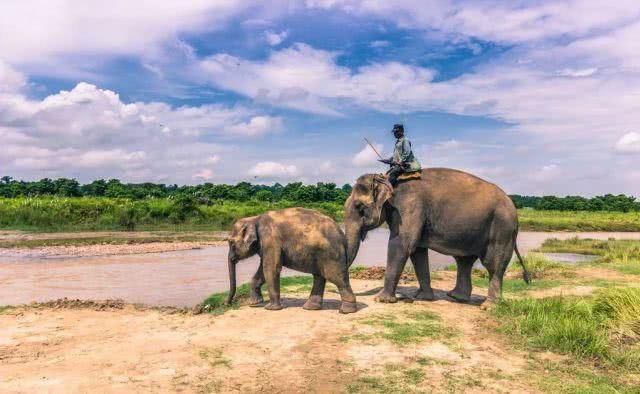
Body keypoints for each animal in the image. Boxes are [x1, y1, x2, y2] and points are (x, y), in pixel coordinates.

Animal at [226, 206, 358, 314]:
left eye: (231, 242)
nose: (228, 304)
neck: (254, 219)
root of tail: (342, 236)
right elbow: (263, 270)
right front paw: (255, 304)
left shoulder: (271, 240)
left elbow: (271, 269)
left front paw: (270, 308)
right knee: (319, 277)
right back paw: (310, 308)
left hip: (331, 254)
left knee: (336, 278)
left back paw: (346, 311)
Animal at [344, 168, 528, 306]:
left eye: (359, 207)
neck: (388, 179)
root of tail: (513, 207)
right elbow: (417, 252)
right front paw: (423, 297)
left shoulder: (409, 207)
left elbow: (402, 245)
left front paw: (382, 300)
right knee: (464, 261)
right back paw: (456, 297)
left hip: (502, 228)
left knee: (493, 264)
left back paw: (488, 306)